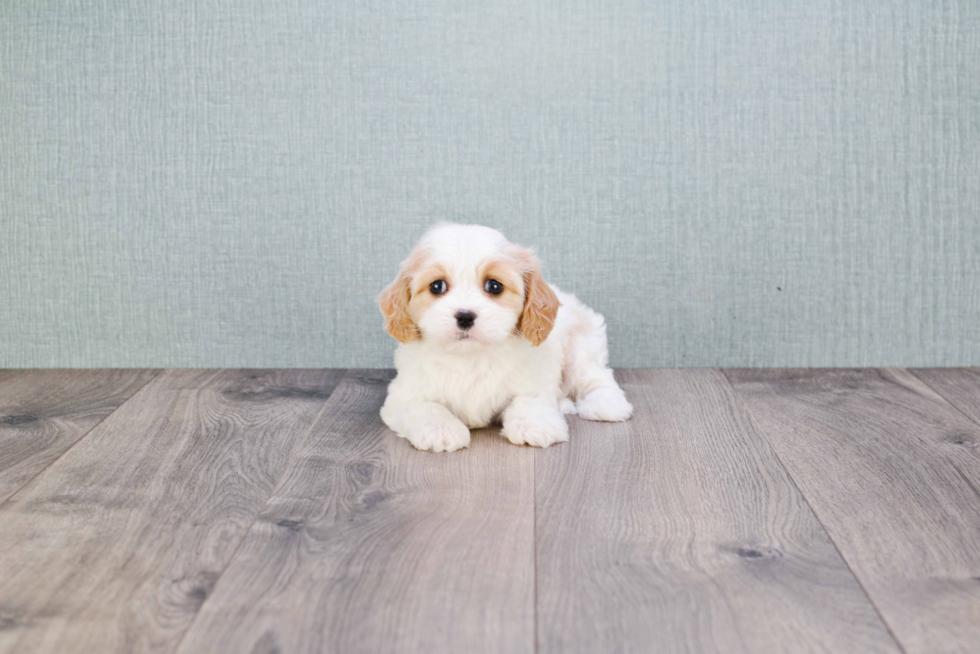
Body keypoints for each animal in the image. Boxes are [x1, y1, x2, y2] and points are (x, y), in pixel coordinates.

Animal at [378, 223, 632, 454]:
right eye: (437, 286)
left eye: (494, 286)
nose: (465, 316)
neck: (470, 357)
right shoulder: (403, 395)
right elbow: (426, 407)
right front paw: (440, 430)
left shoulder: (533, 381)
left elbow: (528, 400)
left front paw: (534, 425)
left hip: (580, 347)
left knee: (596, 378)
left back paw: (607, 405)